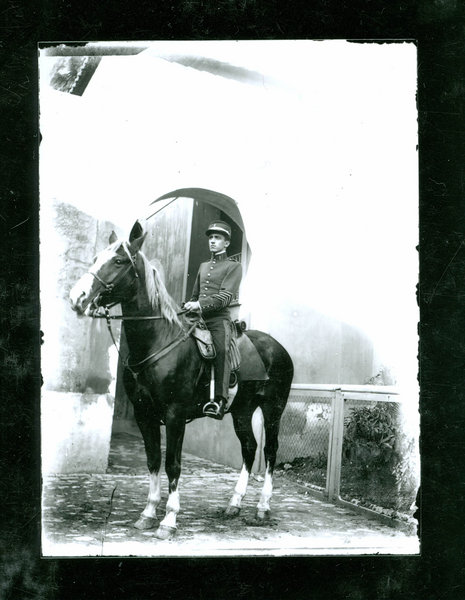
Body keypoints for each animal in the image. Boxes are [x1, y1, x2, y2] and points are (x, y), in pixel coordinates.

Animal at [69, 220, 294, 540]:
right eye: (95, 258)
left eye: (119, 261)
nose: (78, 297)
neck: (158, 342)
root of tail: (278, 347)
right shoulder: (144, 414)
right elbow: (153, 460)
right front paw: (148, 513)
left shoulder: (175, 415)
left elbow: (173, 464)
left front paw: (169, 519)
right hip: (241, 410)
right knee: (249, 448)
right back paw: (234, 504)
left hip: (273, 409)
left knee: (270, 452)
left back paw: (262, 507)